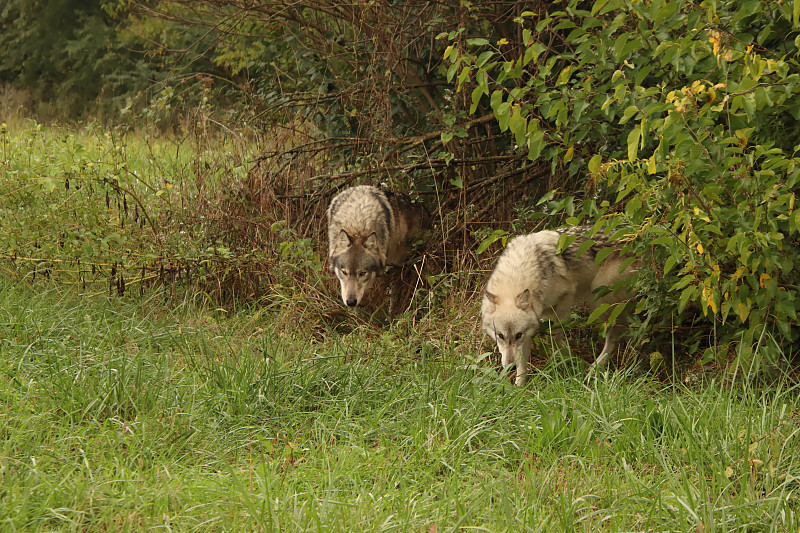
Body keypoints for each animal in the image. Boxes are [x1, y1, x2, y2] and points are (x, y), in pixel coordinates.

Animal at [482, 227, 636, 384]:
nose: (510, 367)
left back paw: (595, 367)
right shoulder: (533, 322)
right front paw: (520, 385)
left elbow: (555, 337)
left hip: (599, 302)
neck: (517, 273)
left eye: (518, 335)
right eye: (500, 335)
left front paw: (565, 360)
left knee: (614, 335)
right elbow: (523, 361)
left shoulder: (566, 298)